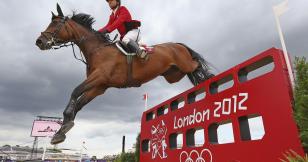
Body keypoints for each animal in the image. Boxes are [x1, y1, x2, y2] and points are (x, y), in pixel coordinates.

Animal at [35, 4, 214, 145]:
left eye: (55, 23)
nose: (39, 42)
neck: (97, 50)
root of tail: (178, 44)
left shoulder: (99, 78)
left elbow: (75, 91)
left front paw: (65, 123)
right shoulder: (100, 87)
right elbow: (79, 103)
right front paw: (62, 131)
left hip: (185, 65)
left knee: (197, 65)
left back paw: (210, 79)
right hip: (174, 75)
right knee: (193, 73)